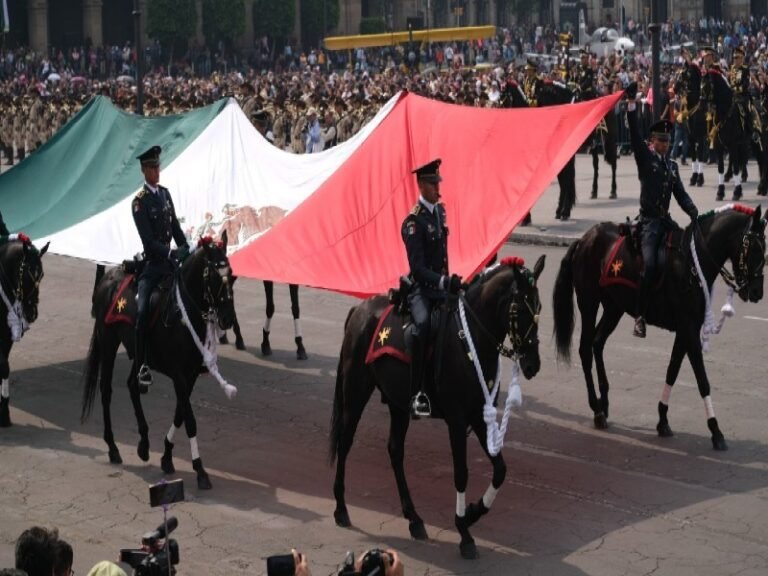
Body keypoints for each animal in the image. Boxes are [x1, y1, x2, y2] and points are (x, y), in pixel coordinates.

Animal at [0, 235, 49, 428]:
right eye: (26, 274)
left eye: (41, 275)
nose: (32, 313)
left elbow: (5, 367)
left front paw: (4, 413)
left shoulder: (6, 336)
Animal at [80, 232, 237, 488]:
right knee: (106, 390)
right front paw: (200, 469)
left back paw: (144, 444)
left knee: (133, 385)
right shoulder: (179, 376)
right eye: (213, 275)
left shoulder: (190, 376)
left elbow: (180, 414)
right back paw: (113, 447)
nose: (228, 319)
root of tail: (107, 279)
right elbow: (190, 420)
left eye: (232, 275)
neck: (184, 315)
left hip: (137, 352)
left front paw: (166, 456)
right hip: (108, 341)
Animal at [330, 255, 544, 560]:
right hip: (355, 391)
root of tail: (359, 308)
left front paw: (474, 511)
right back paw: (340, 507)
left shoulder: (479, 416)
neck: (470, 338)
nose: (532, 364)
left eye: (539, 307)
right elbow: (461, 473)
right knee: (345, 441)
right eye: (519, 308)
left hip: (398, 404)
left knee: (395, 450)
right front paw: (464, 532)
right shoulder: (456, 419)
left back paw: (414, 518)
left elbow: (501, 469)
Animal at [556, 207, 764, 450]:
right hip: (589, 302)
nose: (757, 291)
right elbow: (702, 380)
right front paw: (715, 430)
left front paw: (663, 419)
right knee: (585, 349)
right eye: (753, 247)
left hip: (614, 307)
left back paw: (604, 402)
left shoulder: (685, 330)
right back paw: (597, 410)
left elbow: (672, 370)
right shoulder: (688, 329)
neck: (692, 263)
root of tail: (584, 238)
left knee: (597, 343)